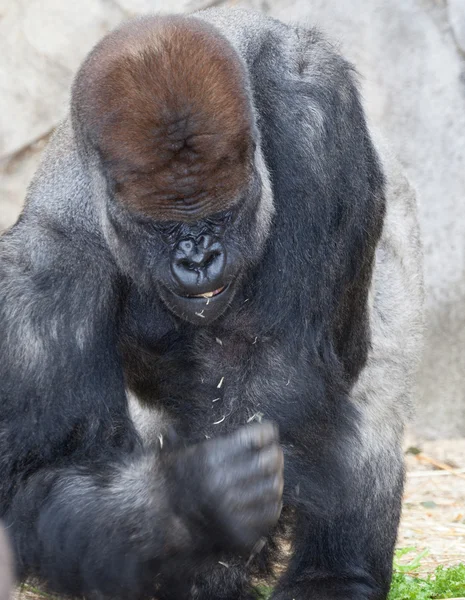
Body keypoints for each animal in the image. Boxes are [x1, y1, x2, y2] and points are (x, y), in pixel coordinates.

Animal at [0, 8, 422, 600]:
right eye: (163, 225)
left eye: (221, 214)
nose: (199, 258)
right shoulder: (44, 263)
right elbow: (35, 473)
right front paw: (190, 509)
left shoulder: (314, 108)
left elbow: (277, 362)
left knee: (373, 392)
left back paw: (335, 576)